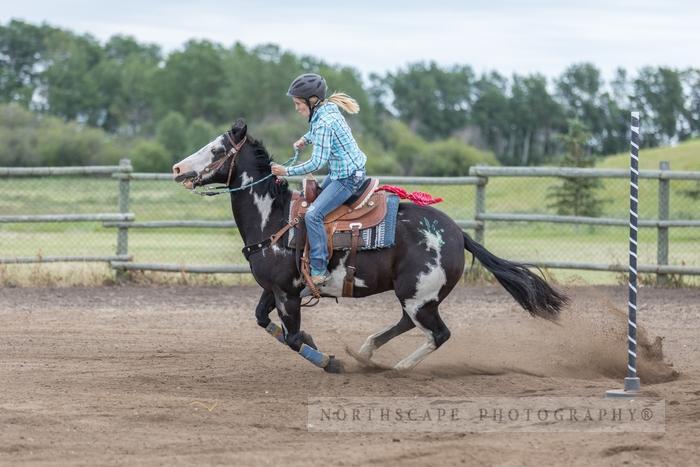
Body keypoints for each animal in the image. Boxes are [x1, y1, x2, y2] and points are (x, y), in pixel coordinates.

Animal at [171, 119, 568, 372]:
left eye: (216, 149)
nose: (176, 168)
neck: (276, 218)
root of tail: (458, 234)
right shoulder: (276, 289)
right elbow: (264, 321)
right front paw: (320, 344)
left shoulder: (286, 292)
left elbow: (293, 337)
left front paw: (330, 362)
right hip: (416, 296)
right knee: (408, 324)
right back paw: (365, 353)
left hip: (418, 295)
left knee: (438, 333)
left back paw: (396, 368)